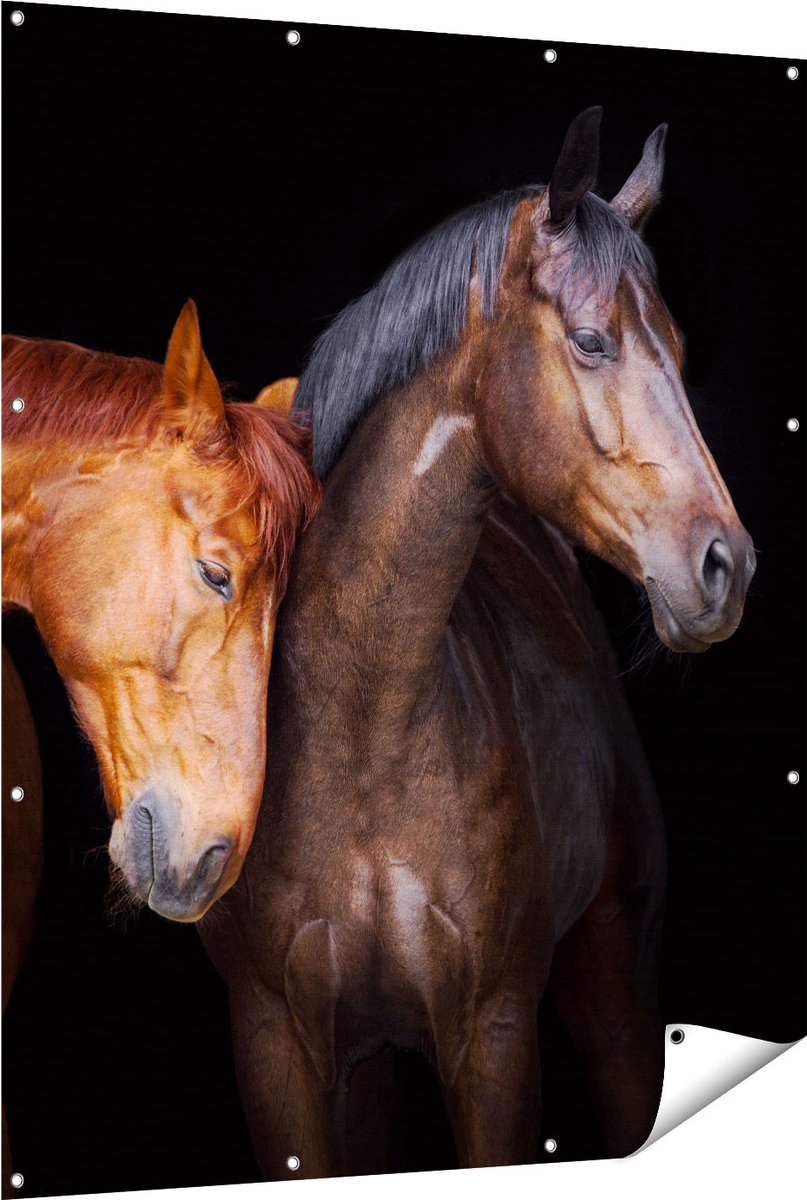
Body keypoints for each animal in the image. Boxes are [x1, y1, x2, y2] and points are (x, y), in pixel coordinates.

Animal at [200, 106, 755, 1177]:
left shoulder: (492, 1039)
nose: (725, 566)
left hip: (613, 1003)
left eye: (674, 344)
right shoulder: (277, 1047)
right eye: (590, 340)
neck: (364, 725)